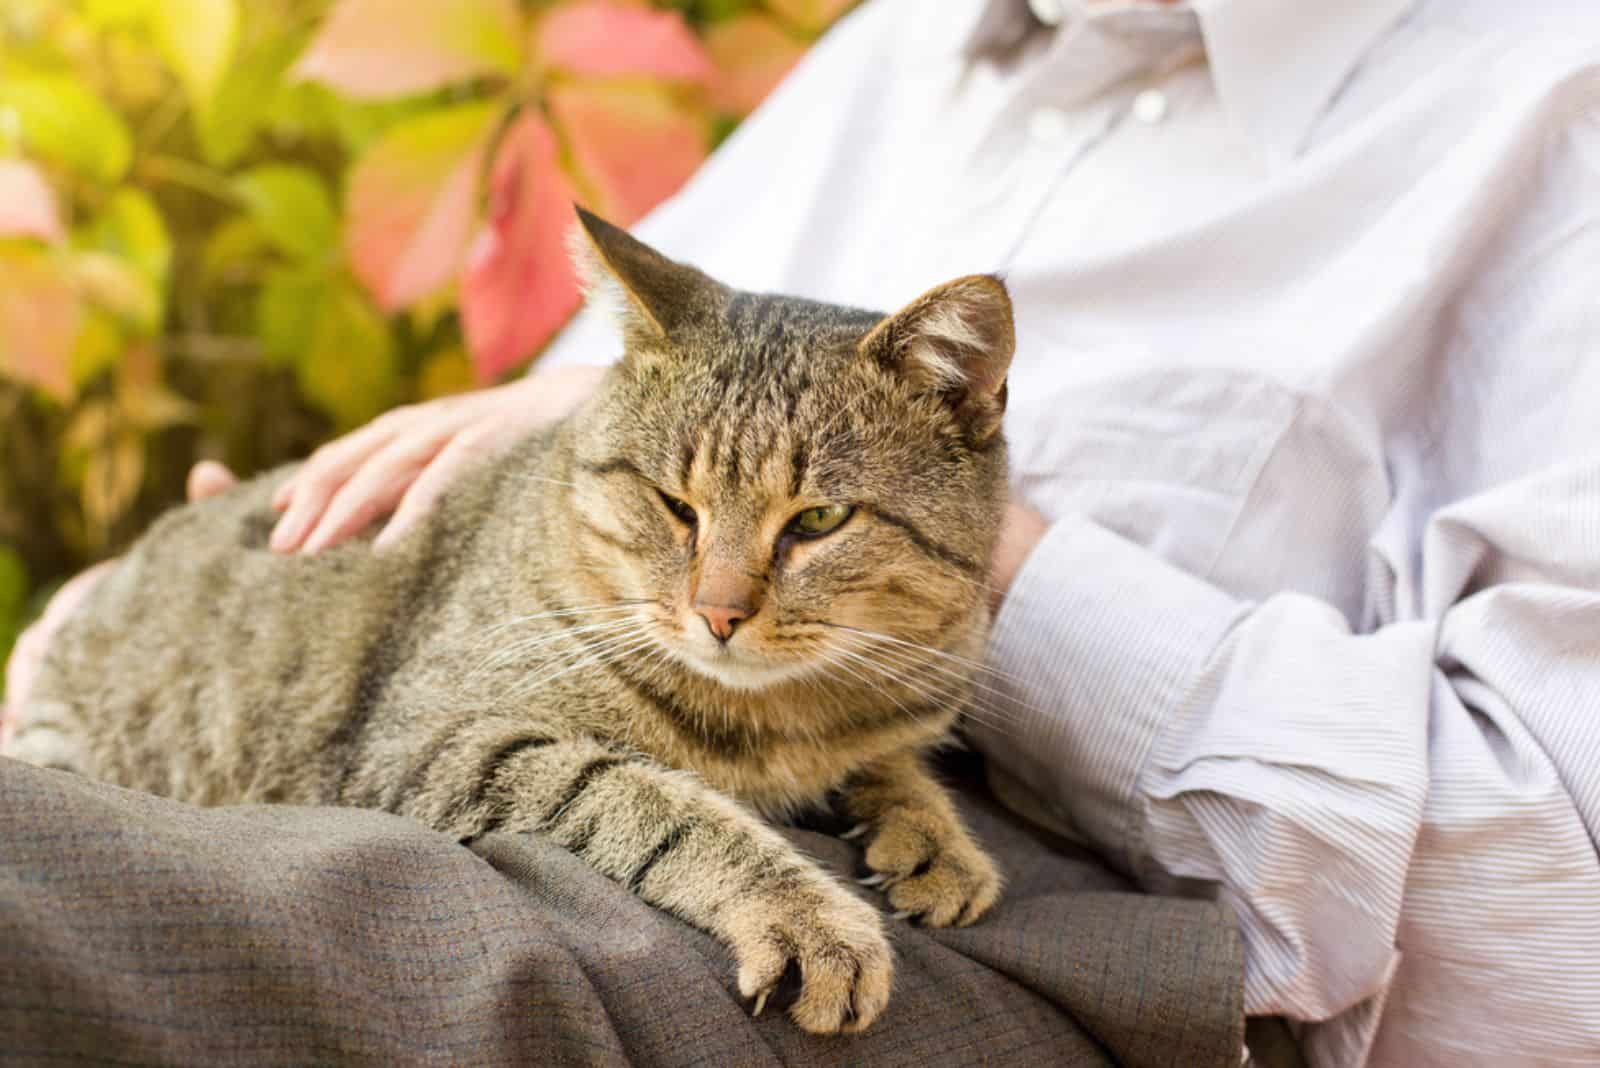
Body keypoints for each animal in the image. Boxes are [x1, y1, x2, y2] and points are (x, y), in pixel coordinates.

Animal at [12, 207, 1011, 1036]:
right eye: (674, 505)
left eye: (818, 520)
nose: (719, 613)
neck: (783, 719)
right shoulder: (437, 740)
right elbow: (657, 803)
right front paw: (810, 916)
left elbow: (896, 762)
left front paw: (935, 838)